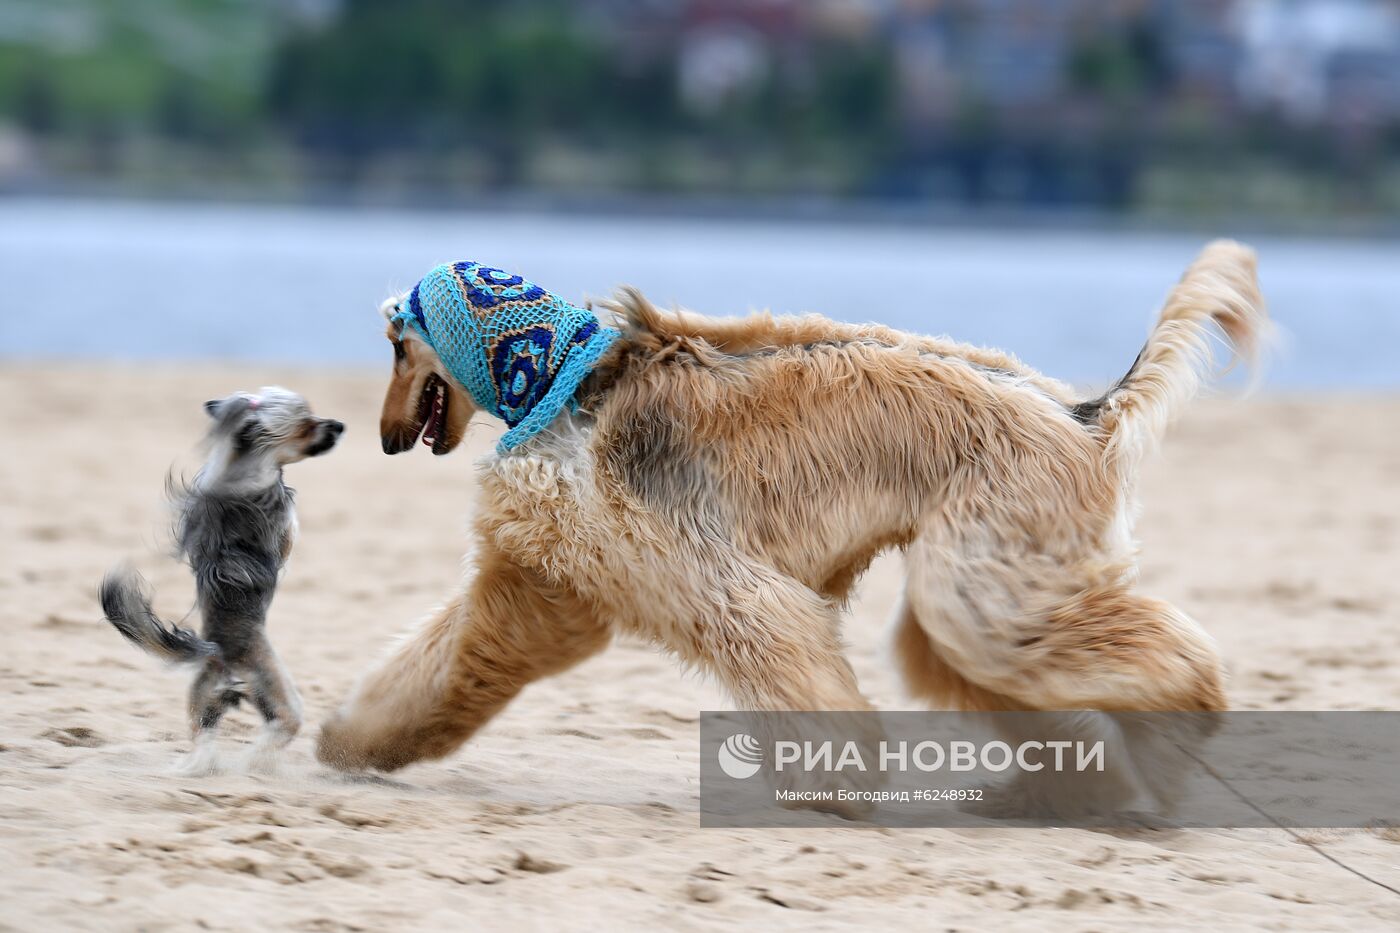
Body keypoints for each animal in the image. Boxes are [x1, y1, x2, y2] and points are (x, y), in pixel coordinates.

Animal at [102, 383, 344, 767]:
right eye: (306, 425)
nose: (338, 425)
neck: (243, 466)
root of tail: (221, 658)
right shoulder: (281, 522)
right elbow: (288, 531)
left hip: (201, 698)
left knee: (202, 734)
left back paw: (200, 766)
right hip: (278, 692)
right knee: (282, 725)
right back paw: (252, 761)